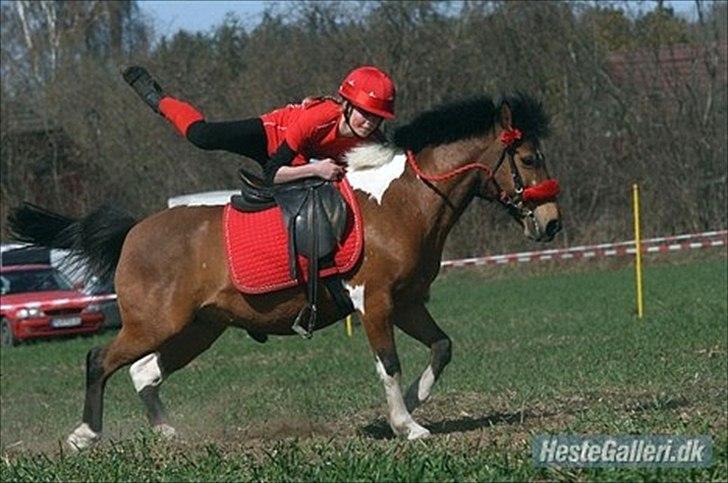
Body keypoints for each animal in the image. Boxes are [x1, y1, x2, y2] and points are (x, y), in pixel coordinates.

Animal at [7, 91, 564, 450]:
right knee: (100, 359)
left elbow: (441, 348)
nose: (552, 224)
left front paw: (412, 404)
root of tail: (133, 232)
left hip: (198, 328)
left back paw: (169, 434)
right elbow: (388, 363)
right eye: (529, 158)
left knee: (144, 372)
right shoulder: (375, 301)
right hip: (154, 323)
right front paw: (406, 426)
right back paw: (84, 435)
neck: (403, 202)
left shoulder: (406, 302)